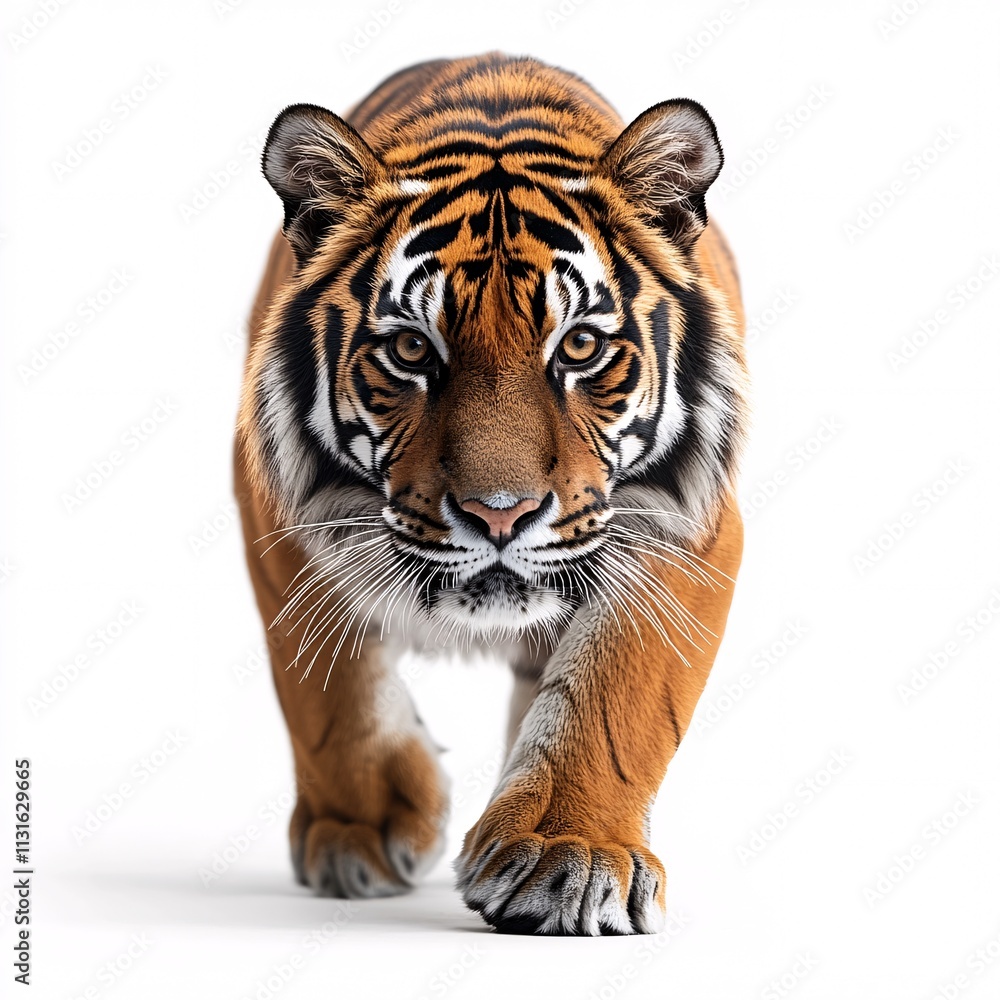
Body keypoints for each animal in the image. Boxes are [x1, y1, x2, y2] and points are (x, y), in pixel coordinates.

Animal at [235, 52, 748, 936]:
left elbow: (617, 695)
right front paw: (364, 830)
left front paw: (566, 850)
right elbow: (329, 691)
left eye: (580, 346)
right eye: (411, 350)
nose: (498, 513)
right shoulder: (276, 504)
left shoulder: (688, 523)